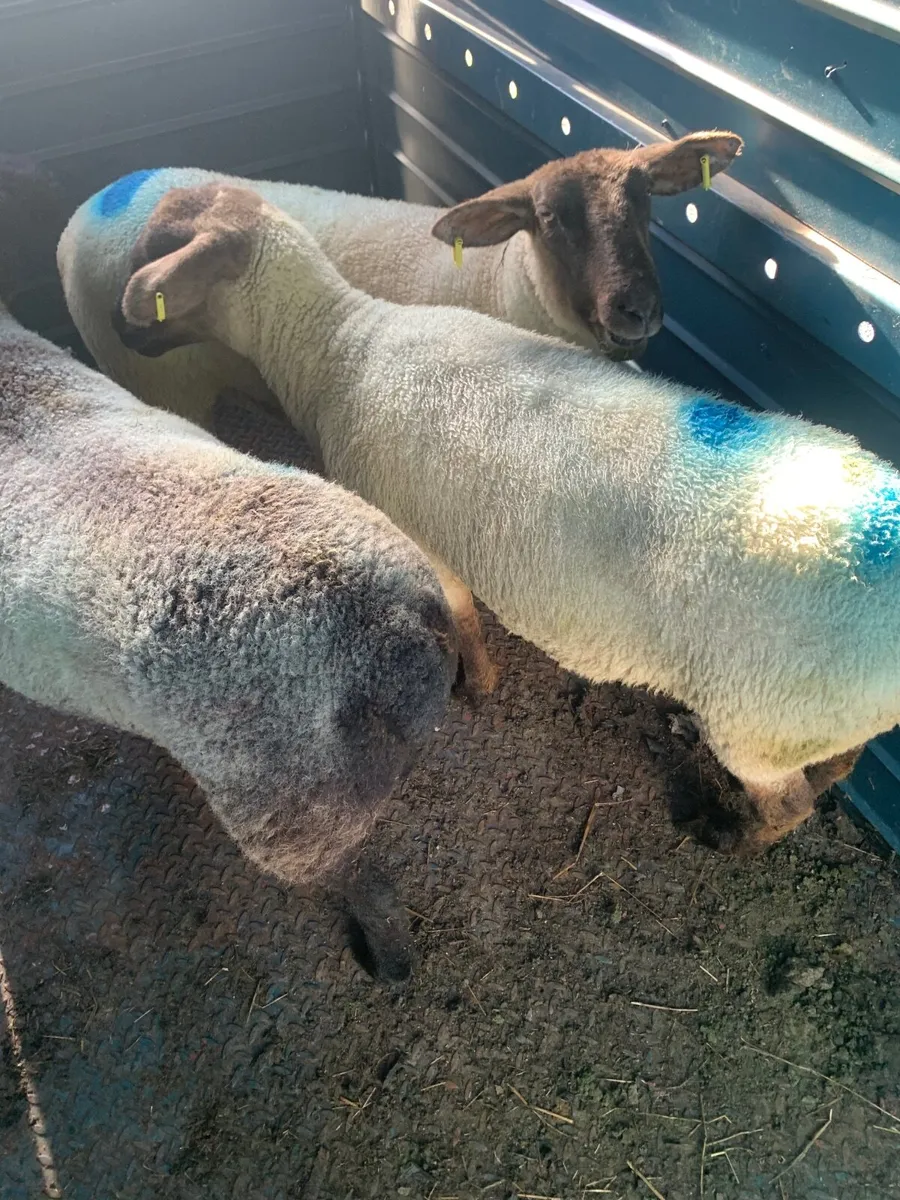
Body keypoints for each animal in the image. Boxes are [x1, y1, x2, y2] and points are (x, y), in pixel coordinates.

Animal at [0, 167, 457, 980]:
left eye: (155, 270)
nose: (118, 327)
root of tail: (393, 627)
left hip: (292, 811)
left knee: (358, 877)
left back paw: (389, 960)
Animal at [56, 131, 742, 427]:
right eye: (549, 219)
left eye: (647, 201)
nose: (638, 310)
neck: (502, 283)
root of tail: (81, 212)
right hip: (164, 385)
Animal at [116, 182, 900, 853]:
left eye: (161, 265)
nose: (124, 336)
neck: (338, 345)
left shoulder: (421, 535)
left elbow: (461, 612)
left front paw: (481, 681)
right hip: (815, 718)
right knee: (836, 767)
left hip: (758, 714)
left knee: (789, 804)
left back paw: (735, 838)